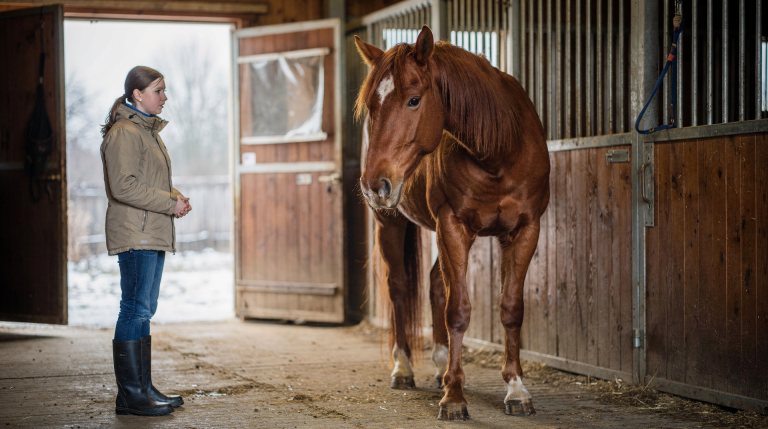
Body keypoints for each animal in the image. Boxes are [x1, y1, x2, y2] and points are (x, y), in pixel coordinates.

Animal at [354, 26, 550, 420]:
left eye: (414, 100)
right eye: (371, 106)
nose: (373, 185)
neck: (498, 152)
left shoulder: (525, 231)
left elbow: (511, 309)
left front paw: (516, 389)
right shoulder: (452, 226)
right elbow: (457, 309)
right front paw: (455, 397)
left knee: (433, 285)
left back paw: (440, 363)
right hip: (391, 221)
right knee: (400, 288)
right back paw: (404, 368)